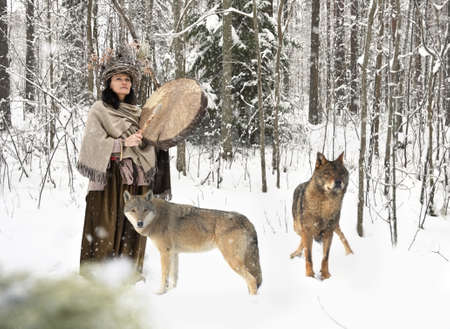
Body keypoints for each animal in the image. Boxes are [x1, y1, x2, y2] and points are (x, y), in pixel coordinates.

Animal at [124, 190, 264, 294]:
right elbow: (174, 277)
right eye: (133, 210)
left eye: (145, 210)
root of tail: (245, 219)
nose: (140, 223)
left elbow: (164, 276)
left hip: (232, 260)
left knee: (252, 280)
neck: (157, 217)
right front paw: (172, 292)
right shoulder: (174, 253)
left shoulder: (165, 253)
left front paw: (160, 292)